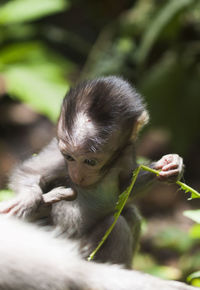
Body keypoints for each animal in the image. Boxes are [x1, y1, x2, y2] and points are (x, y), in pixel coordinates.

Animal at [0, 76, 184, 268]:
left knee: (130, 215)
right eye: (69, 157)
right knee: (117, 226)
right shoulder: (59, 156)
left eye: (90, 162)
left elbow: (126, 186)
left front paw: (169, 166)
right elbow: (29, 172)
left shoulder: (126, 154)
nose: (77, 175)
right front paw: (27, 200)